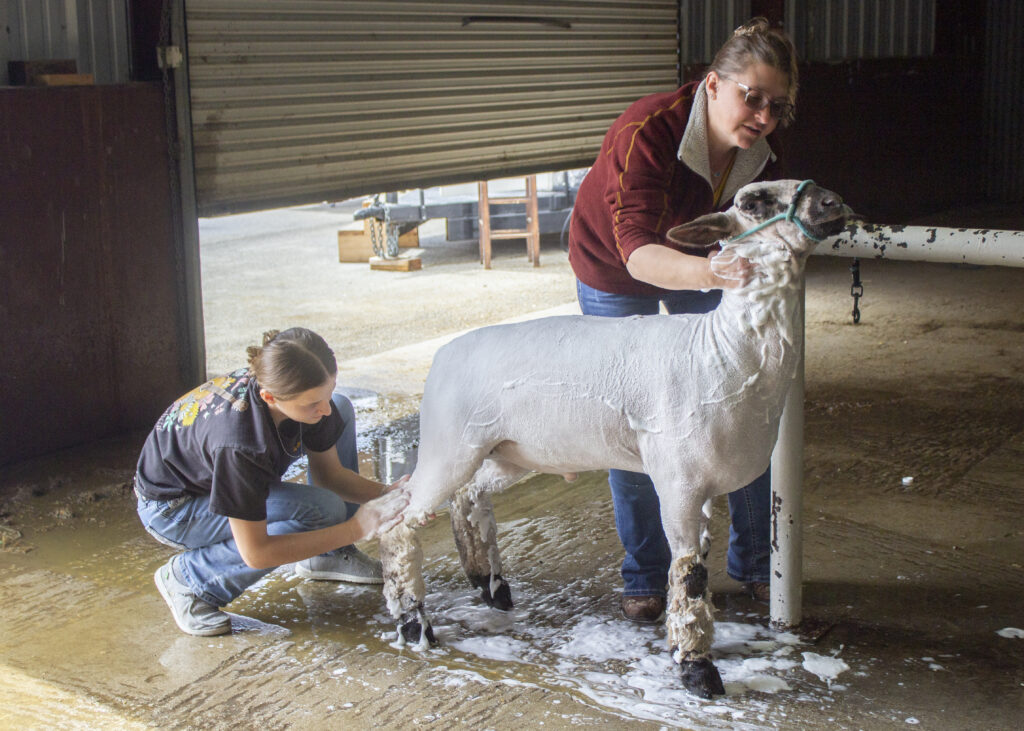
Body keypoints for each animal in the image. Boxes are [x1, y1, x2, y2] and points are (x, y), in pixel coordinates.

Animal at [376, 176, 847, 696]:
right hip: (448, 446)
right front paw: (697, 669)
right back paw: (414, 624)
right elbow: (690, 575)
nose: (834, 203)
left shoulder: (703, 485)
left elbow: (692, 570)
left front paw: (684, 645)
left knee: (469, 498)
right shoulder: (678, 482)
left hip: (507, 452)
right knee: (396, 524)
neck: (721, 350)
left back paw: (490, 586)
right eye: (751, 202)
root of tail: (442, 355)